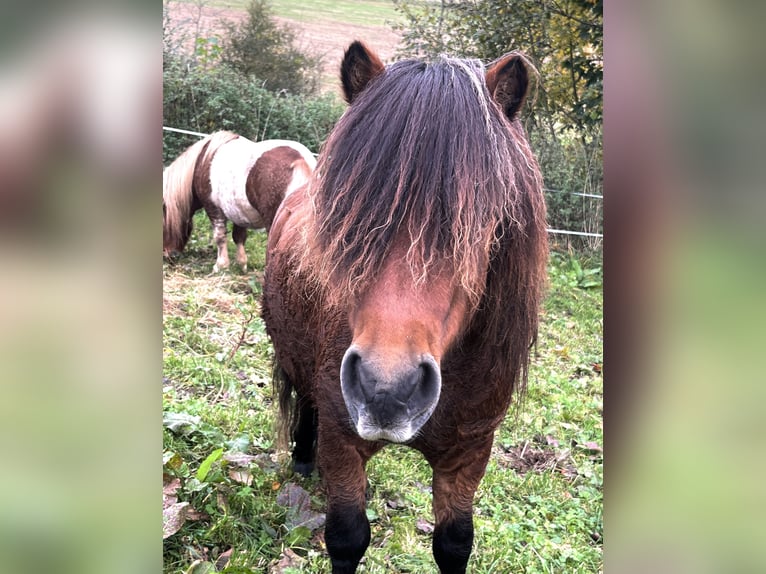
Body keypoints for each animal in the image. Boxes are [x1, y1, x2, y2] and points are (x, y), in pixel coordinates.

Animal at [162, 133, 318, 272]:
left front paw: (221, 265)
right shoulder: (239, 213)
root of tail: (300, 160)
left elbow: (220, 236)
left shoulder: (213, 207)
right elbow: (239, 237)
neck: (202, 161)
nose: (167, 255)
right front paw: (242, 264)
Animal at [260, 41, 548, 574]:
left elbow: (454, 543)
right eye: (349, 214)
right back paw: (305, 460)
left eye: (483, 221)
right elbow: (347, 537)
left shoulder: (468, 454)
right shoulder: (343, 439)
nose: (385, 390)